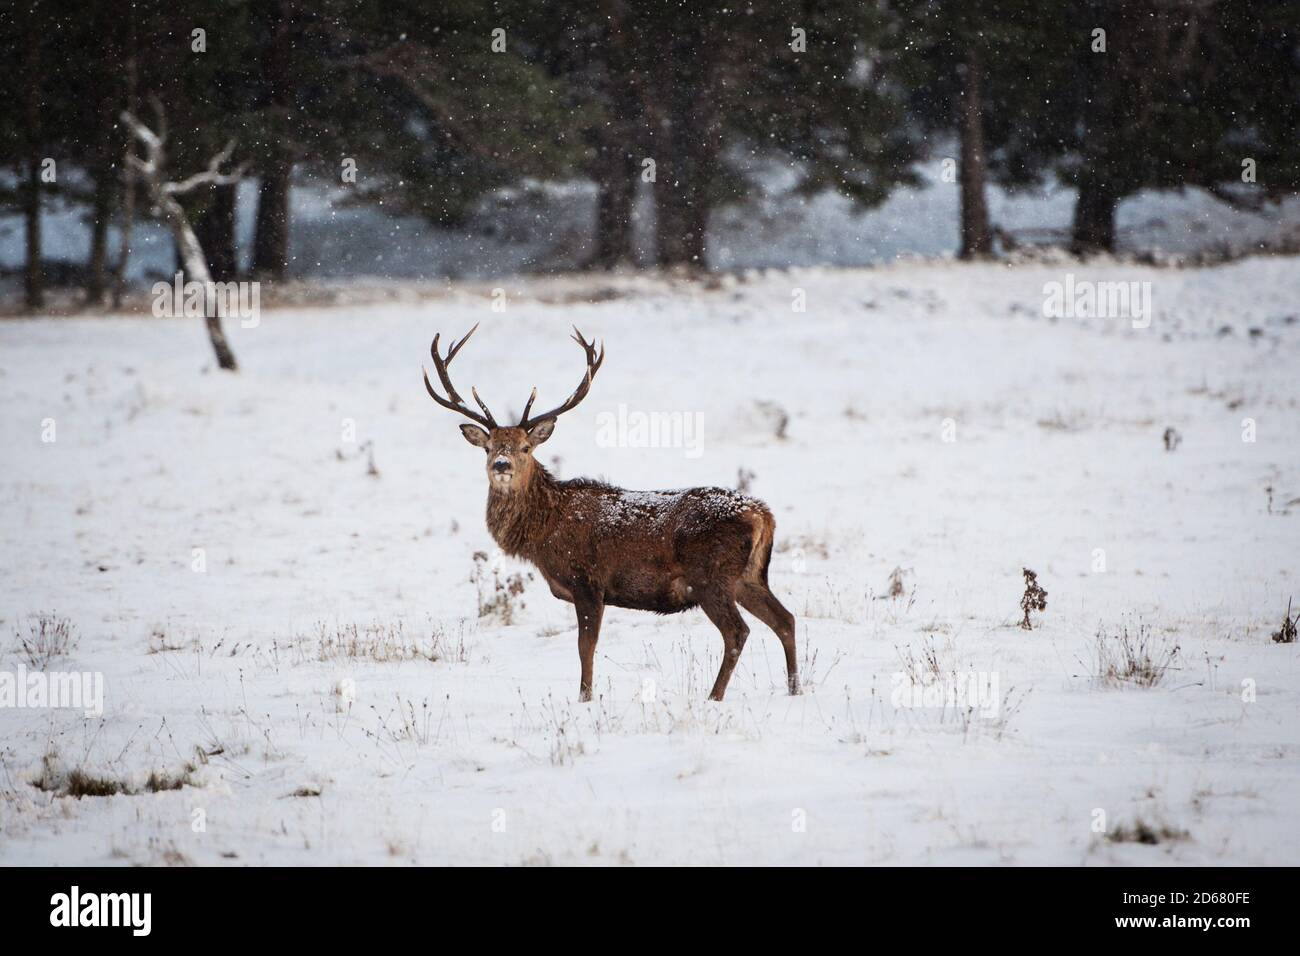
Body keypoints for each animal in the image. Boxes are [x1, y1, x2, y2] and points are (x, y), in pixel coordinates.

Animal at [421, 323, 795, 702]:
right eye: (489, 447)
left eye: (525, 447)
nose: (501, 465)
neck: (544, 531)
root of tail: (762, 514)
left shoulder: (587, 580)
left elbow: (585, 647)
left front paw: (584, 698)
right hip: (749, 576)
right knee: (785, 619)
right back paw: (795, 688)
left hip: (711, 575)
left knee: (738, 632)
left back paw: (713, 697)